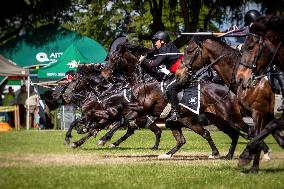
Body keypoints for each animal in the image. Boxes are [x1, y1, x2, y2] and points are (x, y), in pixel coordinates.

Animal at [100, 42, 258, 159]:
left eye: (114, 59)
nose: (103, 75)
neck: (144, 81)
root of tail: (230, 92)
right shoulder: (140, 110)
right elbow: (123, 119)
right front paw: (107, 137)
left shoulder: (142, 108)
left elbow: (123, 119)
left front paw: (104, 138)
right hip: (215, 120)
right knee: (226, 134)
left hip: (227, 117)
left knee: (244, 131)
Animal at [235, 15, 284, 171]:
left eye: (250, 47)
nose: (240, 78)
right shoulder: (260, 113)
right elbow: (265, 130)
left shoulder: (259, 112)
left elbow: (269, 127)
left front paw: (248, 156)